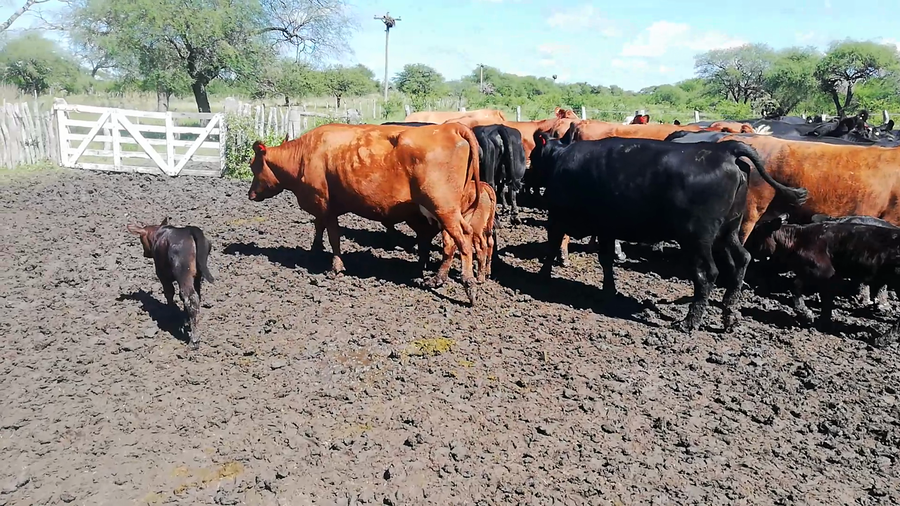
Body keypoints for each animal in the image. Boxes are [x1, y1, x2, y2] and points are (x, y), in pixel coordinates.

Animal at [126, 217, 215, 349]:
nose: (145, 253)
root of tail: (190, 230)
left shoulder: (162, 274)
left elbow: (169, 293)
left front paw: (171, 314)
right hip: (197, 275)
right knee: (196, 297)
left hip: (183, 272)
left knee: (191, 298)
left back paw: (194, 340)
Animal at [246, 122, 484, 305]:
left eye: (253, 166)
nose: (250, 194)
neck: (304, 155)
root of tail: (450, 127)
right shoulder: (325, 206)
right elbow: (319, 227)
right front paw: (315, 251)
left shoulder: (323, 203)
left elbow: (333, 235)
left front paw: (335, 267)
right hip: (446, 211)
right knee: (451, 242)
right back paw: (437, 278)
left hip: (444, 208)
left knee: (463, 239)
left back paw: (469, 285)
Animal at [744, 214, 900, 347]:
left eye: (755, 235)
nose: (745, 249)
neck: (797, 239)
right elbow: (821, 297)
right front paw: (820, 321)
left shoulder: (824, 272)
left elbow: (799, 288)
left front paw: (810, 316)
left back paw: (881, 340)